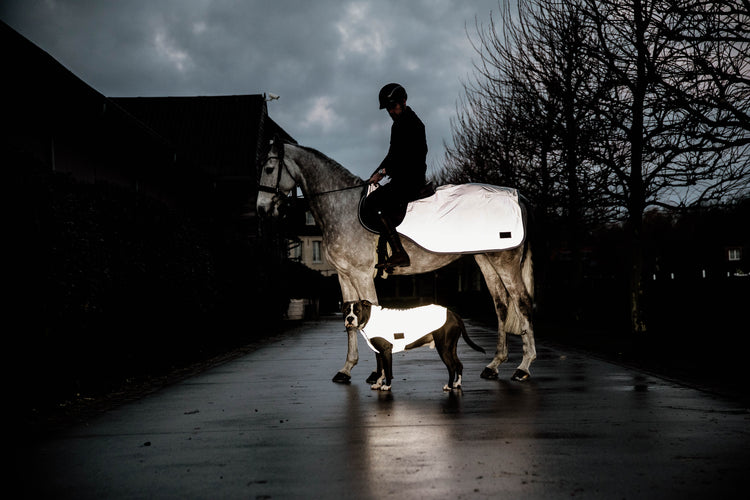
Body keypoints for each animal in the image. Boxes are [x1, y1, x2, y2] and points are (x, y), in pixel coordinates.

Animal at [258, 141, 540, 382]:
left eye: (269, 169)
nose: (261, 209)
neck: (342, 207)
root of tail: (520, 197)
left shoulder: (362, 275)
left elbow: (370, 316)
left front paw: (378, 373)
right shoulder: (344, 276)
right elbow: (350, 322)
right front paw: (346, 369)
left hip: (505, 261)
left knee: (522, 303)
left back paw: (523, 367)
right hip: (486, 259)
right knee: (501, 304)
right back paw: (494, 365)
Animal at [342, 298, 484, 392]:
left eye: (357, 311)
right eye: (346, 311)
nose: (349, 318)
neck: (370, 318)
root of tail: (453, 314)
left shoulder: (386, 352)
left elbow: (387, 370)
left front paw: (387, 385)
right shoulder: (379, 353)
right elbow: (380, 370)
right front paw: (378, 383)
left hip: (443, 348)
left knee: (452, 367)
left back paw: (448, 386)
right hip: (451, 347)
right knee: (459, 365)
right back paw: (456, 384)